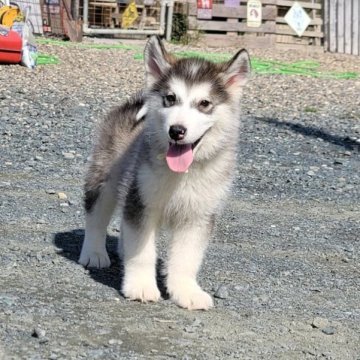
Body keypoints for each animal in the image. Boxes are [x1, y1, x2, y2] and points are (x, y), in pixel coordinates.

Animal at [79, 36, 250, 310]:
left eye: (204, 104)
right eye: (170, 98)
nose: (177, 130)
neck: (182, 175)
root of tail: (131, 107)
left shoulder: (199, 216)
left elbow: (187, 258)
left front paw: (186, 291)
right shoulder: (141, 202)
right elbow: (143, 252)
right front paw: (140, 285)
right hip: (105, 178)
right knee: (96, 216)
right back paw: (94, 253)